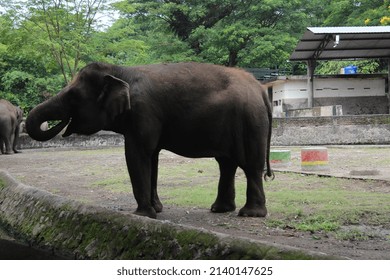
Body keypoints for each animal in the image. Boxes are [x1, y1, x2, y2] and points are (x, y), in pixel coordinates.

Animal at [25, 63, 272, 219]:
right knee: (227, 164)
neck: (120, 71)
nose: (63, 126)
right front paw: (157, 209)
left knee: (250, 165)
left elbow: (137, 154)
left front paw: (143, 214)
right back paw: (220, 209)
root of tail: (261, 89)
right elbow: (152, 157)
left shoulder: (143, 113)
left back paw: (249, 214)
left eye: (73, 96)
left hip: (250, 121)